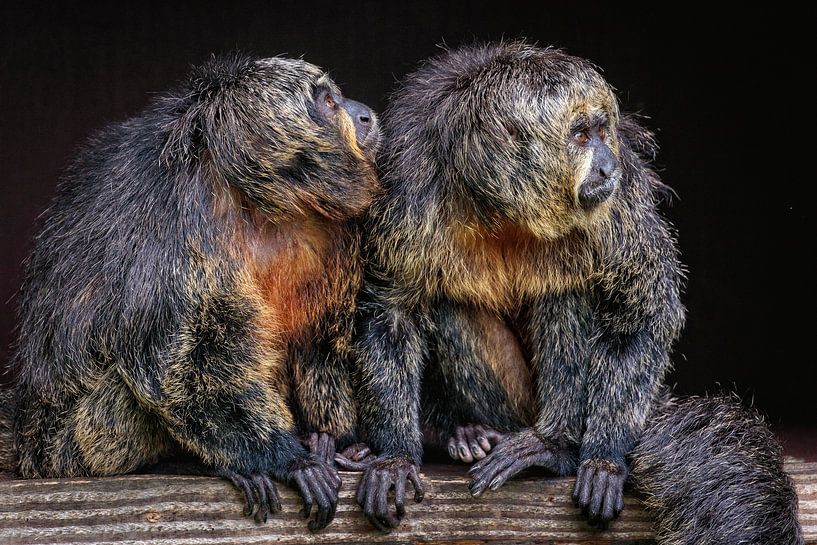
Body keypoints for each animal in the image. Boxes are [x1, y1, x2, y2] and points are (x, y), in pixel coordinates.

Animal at [0, 53, 381, 531]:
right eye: (329, 103)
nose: (363, 112)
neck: (257, 204)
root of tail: (26, 445)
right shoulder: (174, 220)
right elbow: (181, 365)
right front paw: (289, 459)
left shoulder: (334, 232)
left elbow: (319, 342)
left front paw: (337, 441)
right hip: (66, 449)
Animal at [342, 42, 802, 544]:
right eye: (580, 136)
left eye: (601, 133)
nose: (606, 164)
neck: (499, 206)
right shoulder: (406, 189)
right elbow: (390, 311)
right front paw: (394, 456)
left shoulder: (621, 200)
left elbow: (643, 311)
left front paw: (603, 456)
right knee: (451, 304)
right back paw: (468, 431)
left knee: (567, 291)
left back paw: (554, 446)